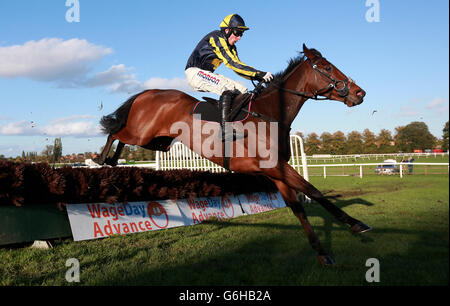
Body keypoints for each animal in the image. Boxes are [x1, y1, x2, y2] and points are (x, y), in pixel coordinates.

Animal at [96, 43, 370, 266]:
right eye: (327, 67)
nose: (360, 93)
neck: (269, 113)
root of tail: (148, 92)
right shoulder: (276, 167)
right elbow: (315, 192)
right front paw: (356, 224)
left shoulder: (277, 173)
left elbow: (298, 208)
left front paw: (321, 252)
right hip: (142, 134)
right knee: (114, 132)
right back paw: (99, 159)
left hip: (158, 142)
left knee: (120, 138)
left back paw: (111, 160)